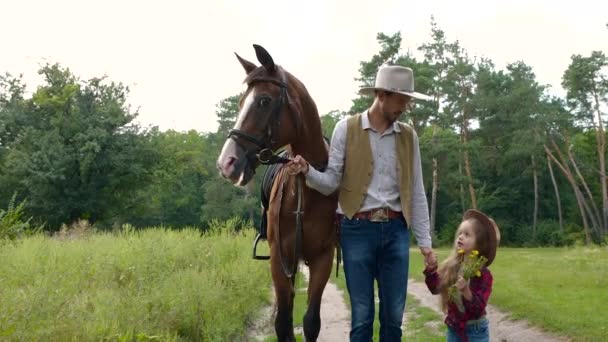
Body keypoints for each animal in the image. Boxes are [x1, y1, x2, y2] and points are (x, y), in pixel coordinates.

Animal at [214, 45, 338, 342]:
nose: (226, 163)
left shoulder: (323, 259)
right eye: (240, 103)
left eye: (264, 101)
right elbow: (283, 323)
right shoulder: (280, 258)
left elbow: (311, 322)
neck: (306, 189)